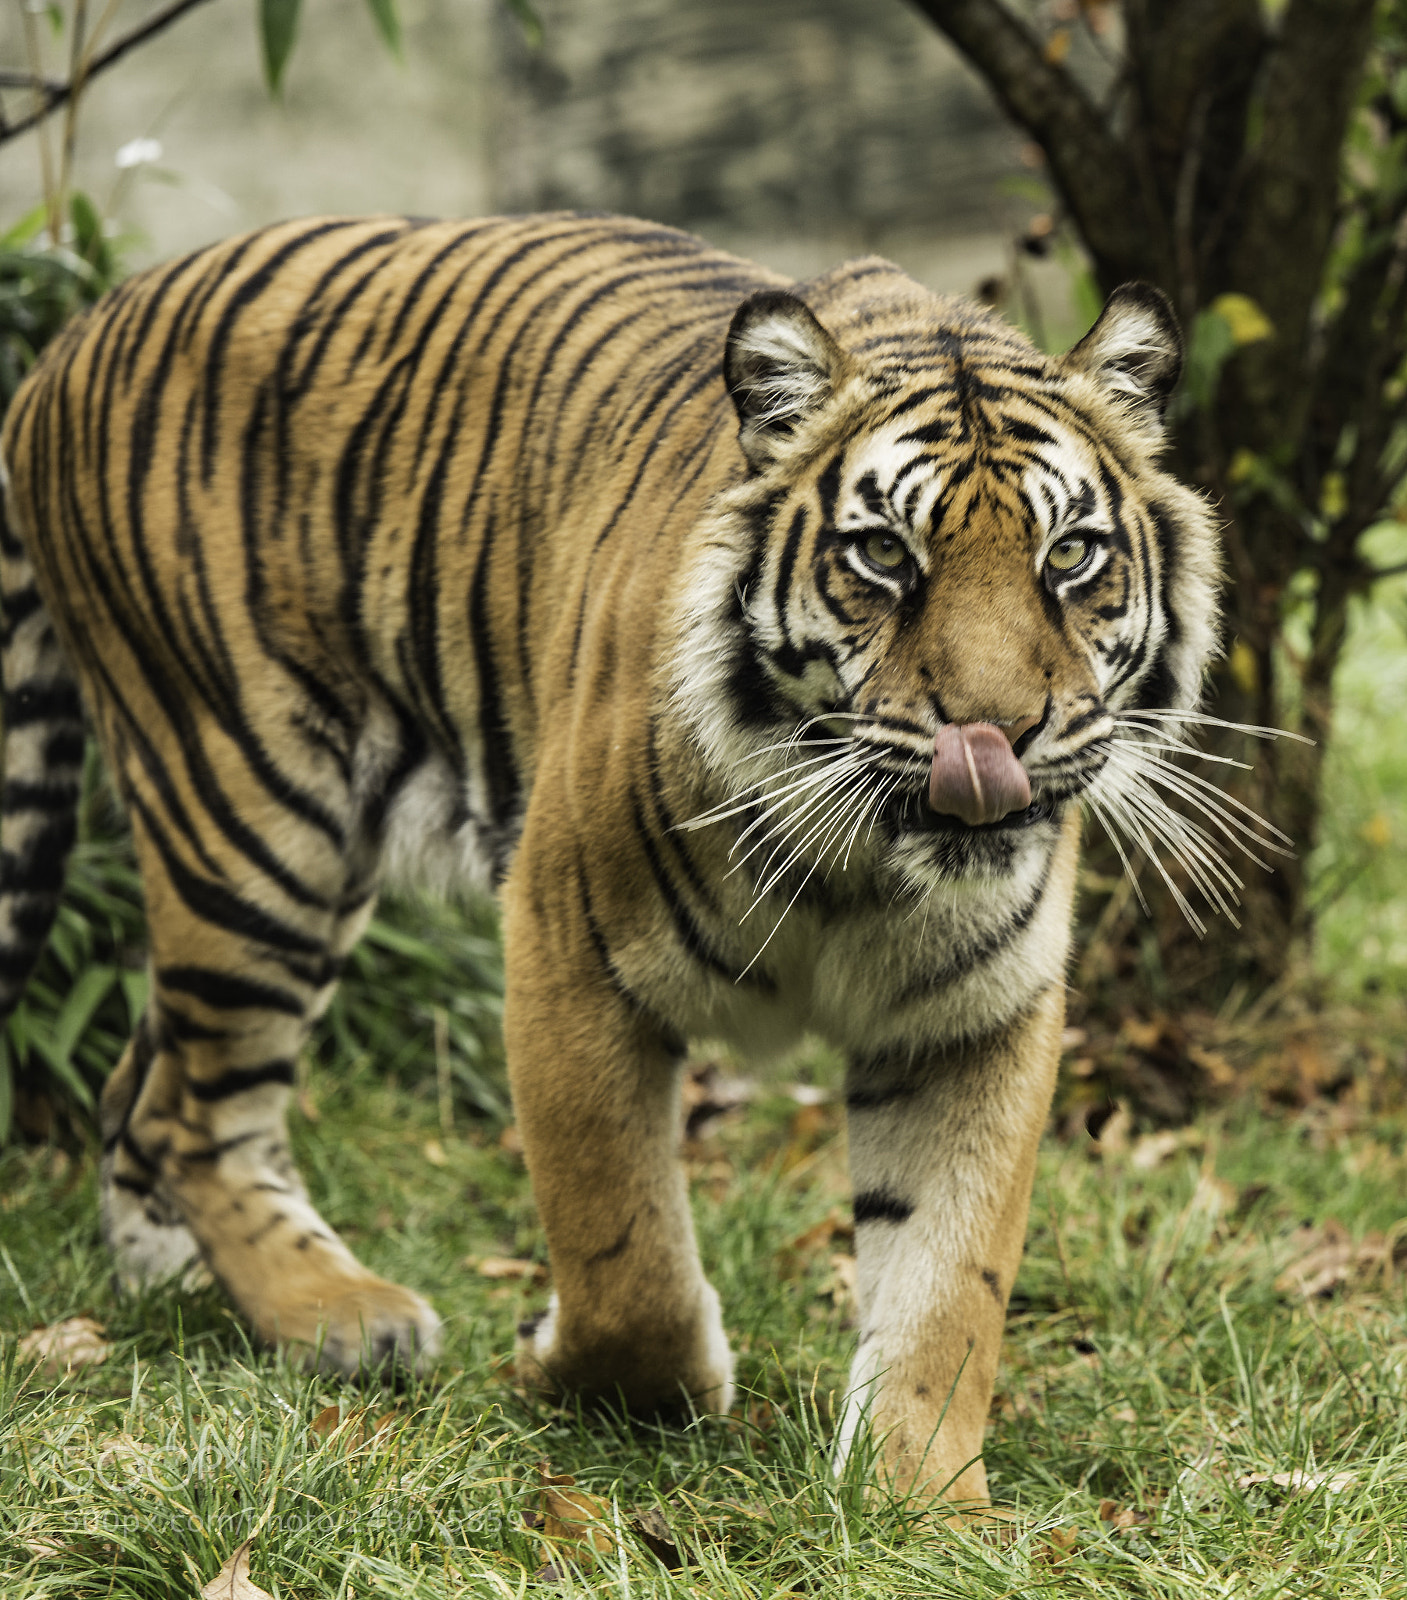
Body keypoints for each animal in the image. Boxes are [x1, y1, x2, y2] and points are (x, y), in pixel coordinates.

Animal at [0, 212, 1218, 1510]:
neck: (862, 863)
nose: (996, 736)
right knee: (198, 1105)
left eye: (1072, 554)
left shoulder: (974, 1015)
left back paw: (180, 1285)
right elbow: (623, 1246)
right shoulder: (566, 947)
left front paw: (923, 1503)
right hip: (252, 813)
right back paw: (340, 1316)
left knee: (145, 1078)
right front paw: (573, 1366)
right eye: (885, 555)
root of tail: (74, 333)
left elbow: (949, 1285)